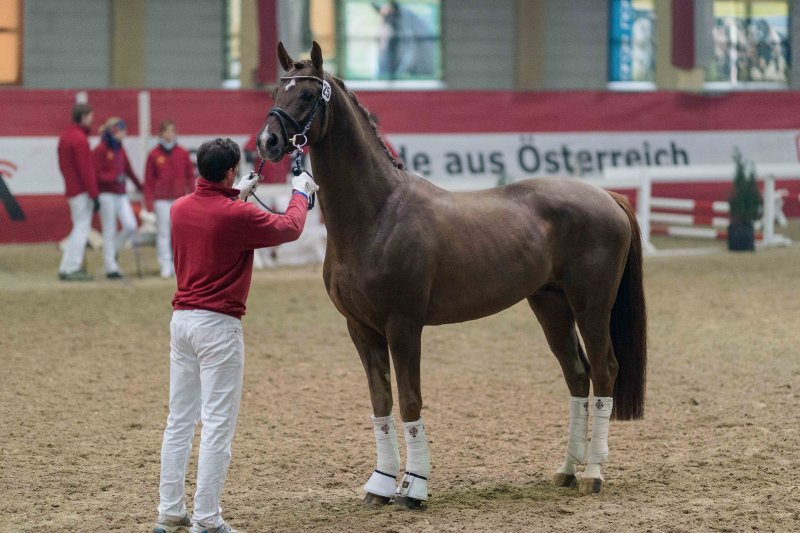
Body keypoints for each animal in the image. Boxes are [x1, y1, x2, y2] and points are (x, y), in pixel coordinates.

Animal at [256, 42, 644, 508]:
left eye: (309, 94)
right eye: (277, 90)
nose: (268, 142)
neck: (378, 214)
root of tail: (607, 195)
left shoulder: (403, 326)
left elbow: (410, 401)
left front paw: (414, 488)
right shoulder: (361, 328)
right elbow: (381, 403)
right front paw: (380, 485)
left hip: (592, 304)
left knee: (604, 370)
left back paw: (593, 473)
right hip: (550, 304)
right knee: (577, 374)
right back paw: (567, 470)